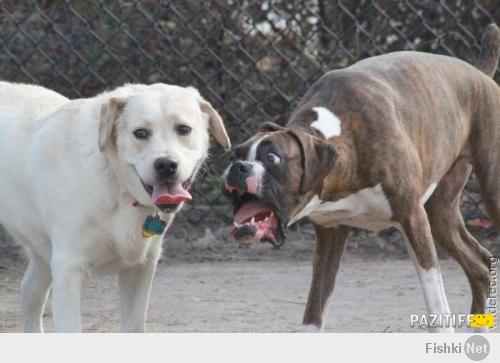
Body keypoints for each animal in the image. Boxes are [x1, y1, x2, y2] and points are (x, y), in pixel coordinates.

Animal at [0, 82, 230, 332]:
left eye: (183, 129)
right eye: (140, 133)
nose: (166, 165)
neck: (117, 184)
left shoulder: (140, 268)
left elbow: (134, 326)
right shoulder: (68, 268)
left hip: (42, 253)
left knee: (29, 292)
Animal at [223, 24, 500, 334]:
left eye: (272, 158)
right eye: (236, 153)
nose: (239, 167)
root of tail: (479, 73)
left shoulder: (413, 220)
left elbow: (436, 302)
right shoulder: (330, 234)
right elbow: (313, 311)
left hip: (488, 196)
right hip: (440, 215)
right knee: (480, 267)